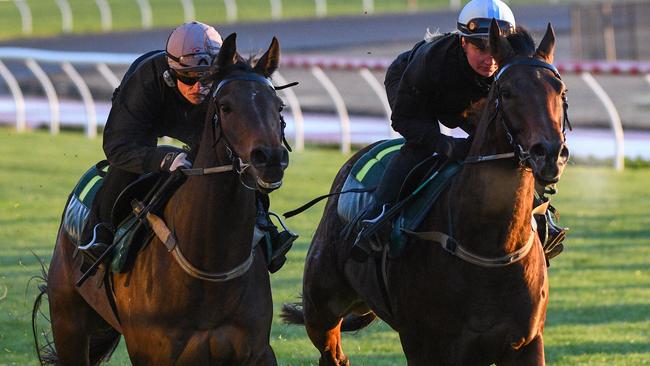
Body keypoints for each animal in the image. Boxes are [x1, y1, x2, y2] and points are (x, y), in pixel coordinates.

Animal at [35, 33, 288, 364]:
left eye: (279, 106)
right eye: (226, 106)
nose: (270, 159)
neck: (209, 269)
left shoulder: (257, 351)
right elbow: (121, 141)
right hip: (69, 323)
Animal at [282, 21, 568, 364]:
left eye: (560, 90)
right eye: (507, 92)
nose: (549, 154)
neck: (489, 248)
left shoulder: (526, 342)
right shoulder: (423, 343)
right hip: (321, 313)